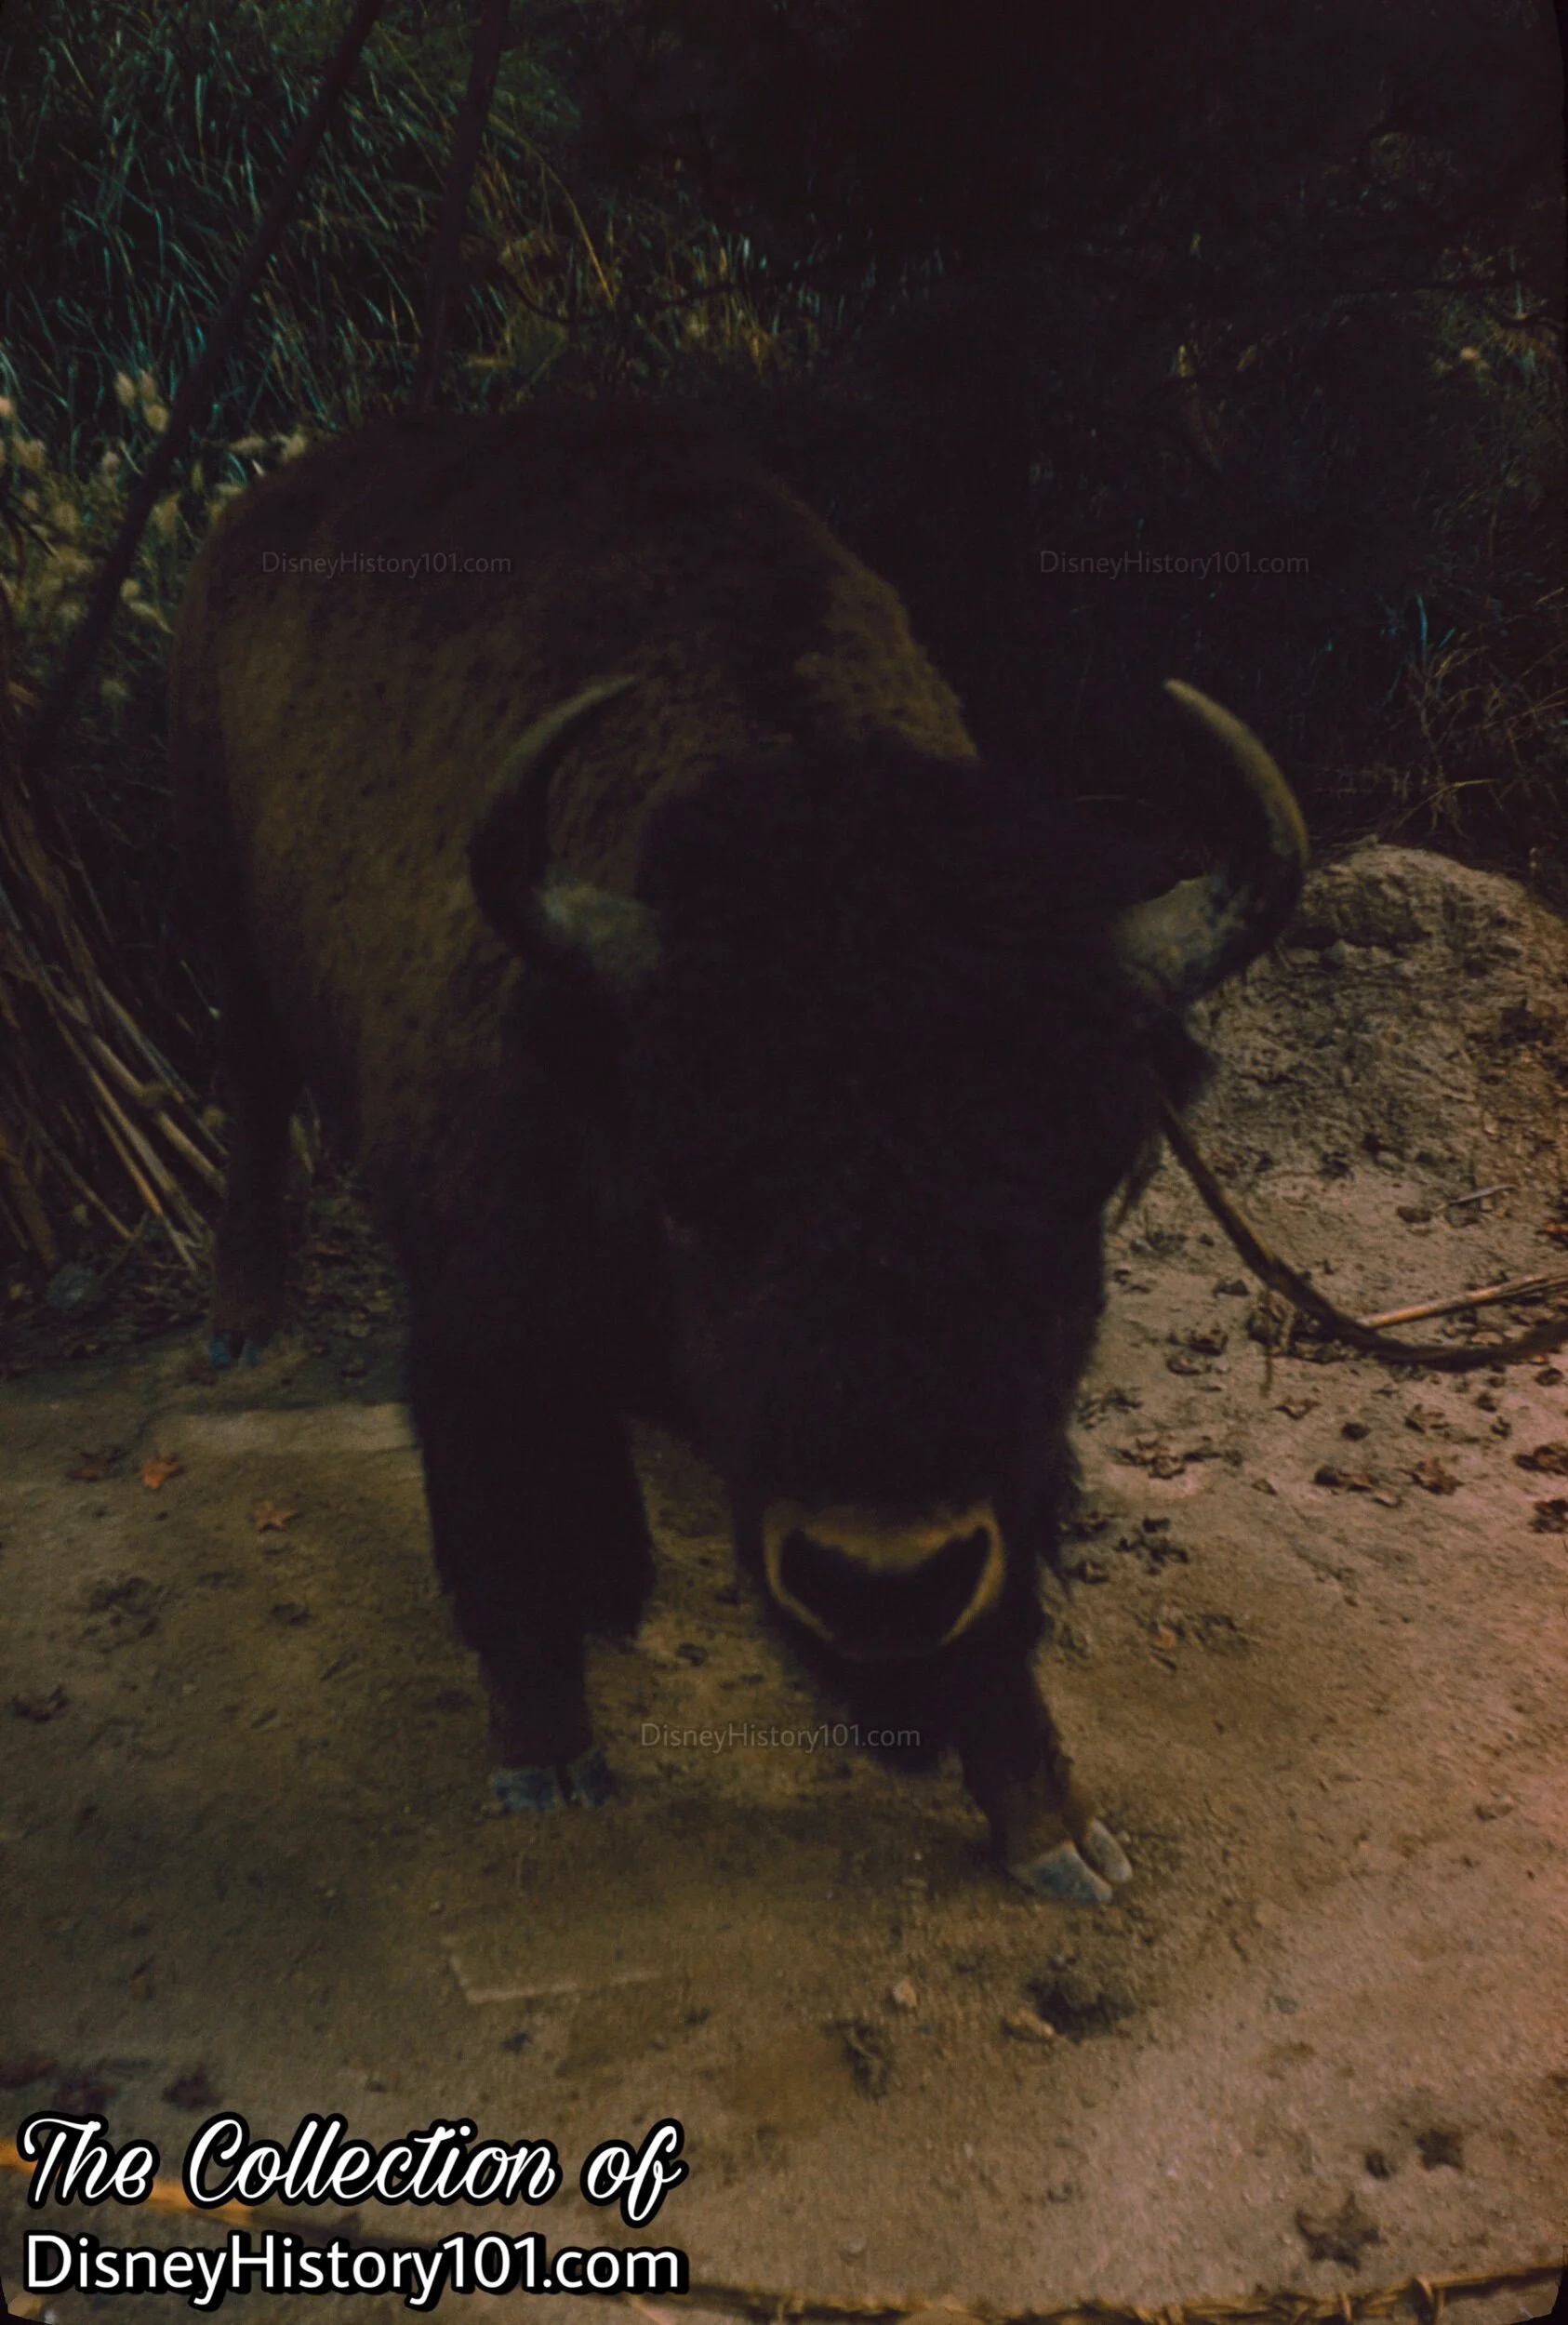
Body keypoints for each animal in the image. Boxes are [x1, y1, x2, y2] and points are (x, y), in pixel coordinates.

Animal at [170, 406, 1306, 1904]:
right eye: (690, 1194)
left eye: (1078, 1192)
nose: (882, 1578)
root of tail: (255, 515)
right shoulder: (482, 1317)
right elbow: (504, 1523)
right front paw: (547, 1763)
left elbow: (1001, 1605)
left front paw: (1057, 1833)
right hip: (226, 914)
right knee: (251, 1091)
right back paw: (245, 1321)